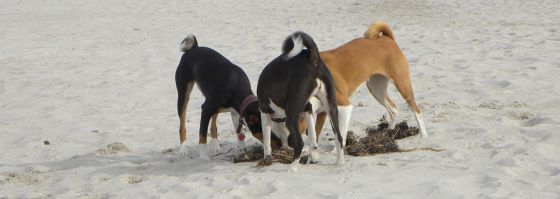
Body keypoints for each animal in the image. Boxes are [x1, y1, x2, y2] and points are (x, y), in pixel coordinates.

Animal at [256, 31, 344, 171]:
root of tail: (312, 59)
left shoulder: (264, 113)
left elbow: (266, 141)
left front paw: (267, 158)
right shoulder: (308, 110)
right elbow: (313, 140)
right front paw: (313, 159)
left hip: (291, 115)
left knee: (299, 143)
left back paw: (292, 167)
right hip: (331, 107)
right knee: (339, 138)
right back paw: (339, 163)